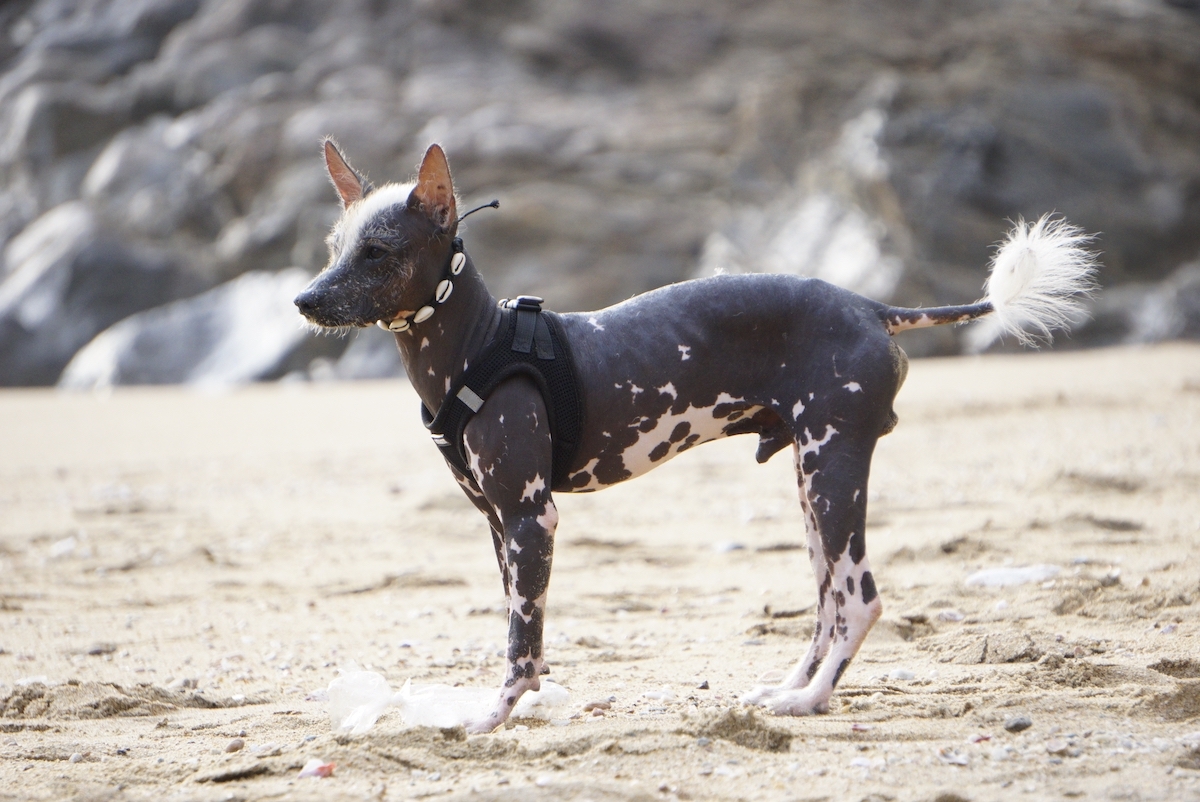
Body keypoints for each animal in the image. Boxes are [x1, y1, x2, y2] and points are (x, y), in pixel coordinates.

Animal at [292, 142, 1099, 734]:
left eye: (377, 251)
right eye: (335, 245)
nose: (303, 299)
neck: (481, 347)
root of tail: (872, 305)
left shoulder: (530, 518)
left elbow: (520, 642)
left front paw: (493, 716)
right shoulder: (499, 525)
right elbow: (527, 629)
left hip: (832, 469)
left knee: (860, 599)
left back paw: (811, 702)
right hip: (811, 483)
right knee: (828, 602)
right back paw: (790, 687)